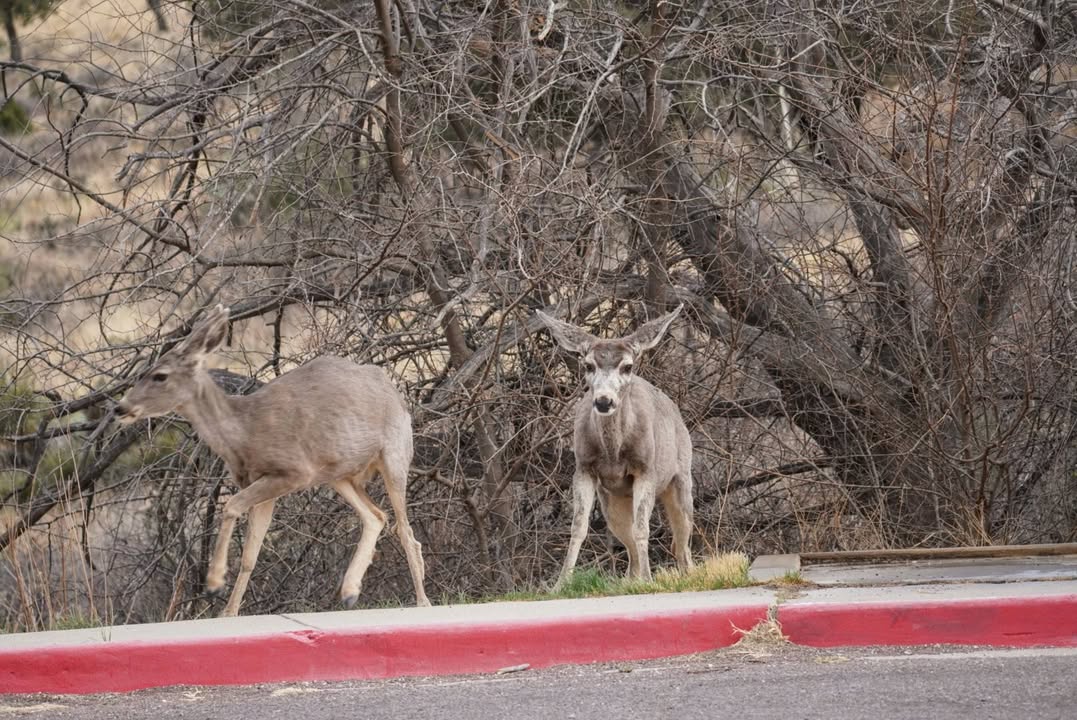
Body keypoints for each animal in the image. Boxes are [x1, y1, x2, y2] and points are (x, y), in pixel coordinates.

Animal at [114, 304, 431, 617]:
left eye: (160, 375)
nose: (120, 408)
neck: (244, 432)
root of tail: (393, 389)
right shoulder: (262, 484)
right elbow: (249, 556)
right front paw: (228, 612)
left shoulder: (293, 471)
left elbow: (231, 506)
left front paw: (214, 583)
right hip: (338, 473)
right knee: (376, 516)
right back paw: (350, 591)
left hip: (394, 453)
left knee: (404, 527)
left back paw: (421, 600)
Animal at [536, 304, 694, 590]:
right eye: (588, 364)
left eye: (627, 366)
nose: (603, 401)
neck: (613, 454)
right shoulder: (583, 469)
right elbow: (578, 527)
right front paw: (560, 584)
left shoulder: (645, 469)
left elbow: (643, 528)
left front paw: (650, 581)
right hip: (613, 501)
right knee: (629, 543)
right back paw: (632, 580)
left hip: (682, 479)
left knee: (682, 541)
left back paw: (678, 575)